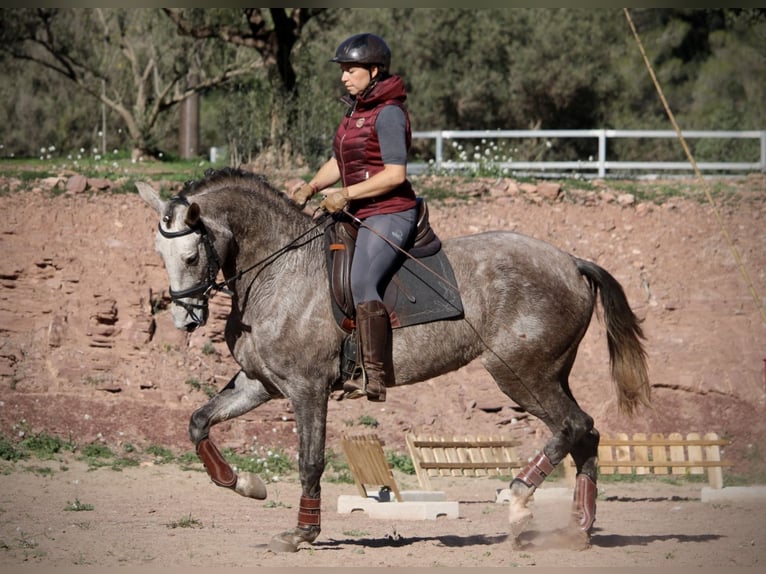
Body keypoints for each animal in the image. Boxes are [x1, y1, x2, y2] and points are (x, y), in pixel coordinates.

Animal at [135, 169, 652, 556]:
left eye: (191, 254)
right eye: (159, 253)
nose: (184, 318)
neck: (277, 271)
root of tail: (570, 261)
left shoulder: (307, 388)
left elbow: (310, 460)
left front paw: (303, 532)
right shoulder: (259, 383)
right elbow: (199, 422)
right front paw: (245, 483)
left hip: (519, 373)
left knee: (572, 426)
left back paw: (520, 500)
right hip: (548, 373)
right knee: (585, 435)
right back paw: (578, 528)